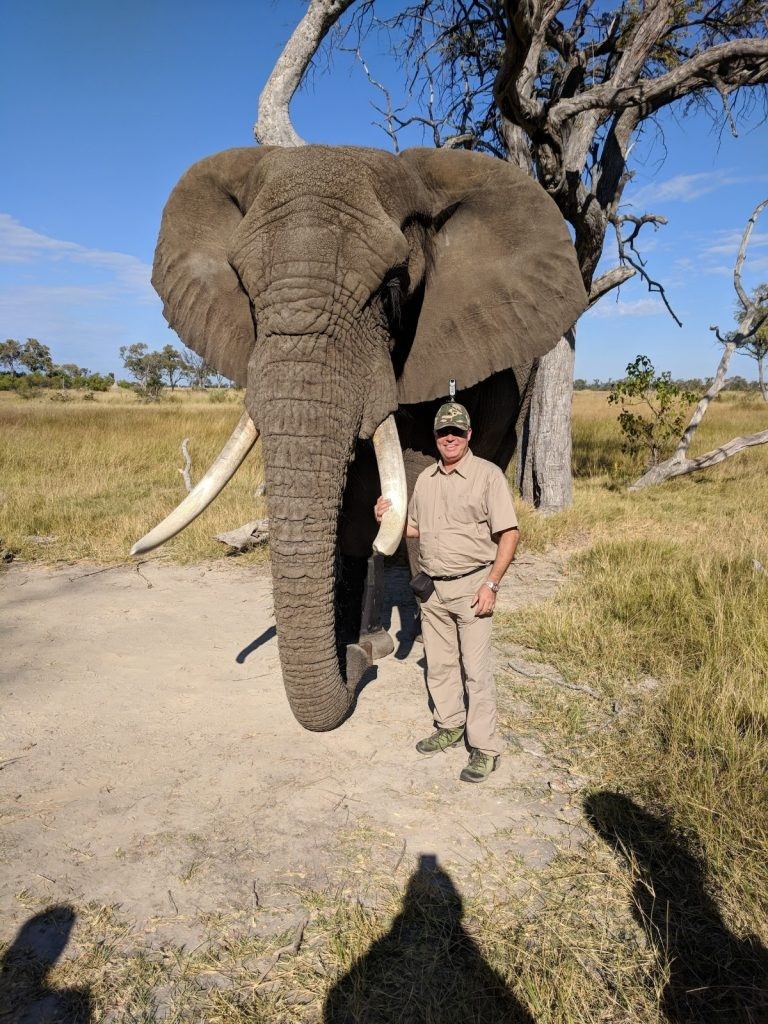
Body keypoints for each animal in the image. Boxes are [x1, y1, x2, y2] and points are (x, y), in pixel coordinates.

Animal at [134, 144, 589, 733]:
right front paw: (352, 637)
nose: (359, 664)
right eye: (244, 288)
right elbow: (351, 512)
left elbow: (414, 486)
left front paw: (404, 641)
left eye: (392, 290)